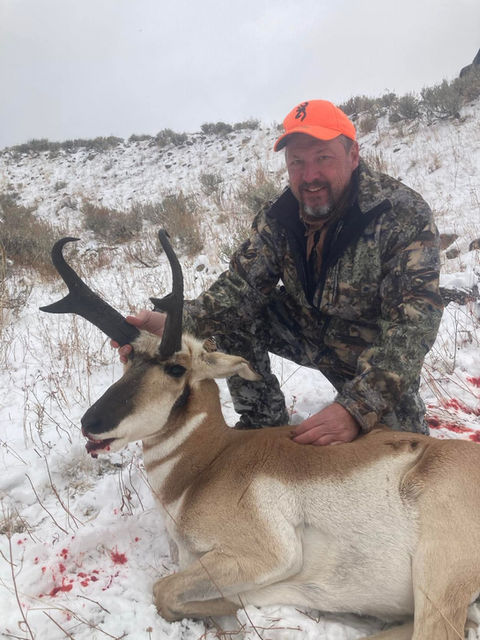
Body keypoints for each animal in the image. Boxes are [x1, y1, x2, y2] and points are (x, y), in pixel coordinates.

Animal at [40, 230, 480, 640]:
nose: (91, 423)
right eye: (128, 357)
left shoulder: (266, 556)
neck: (208, 463)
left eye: (176, 369)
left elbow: (163, 591)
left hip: (439, 571)